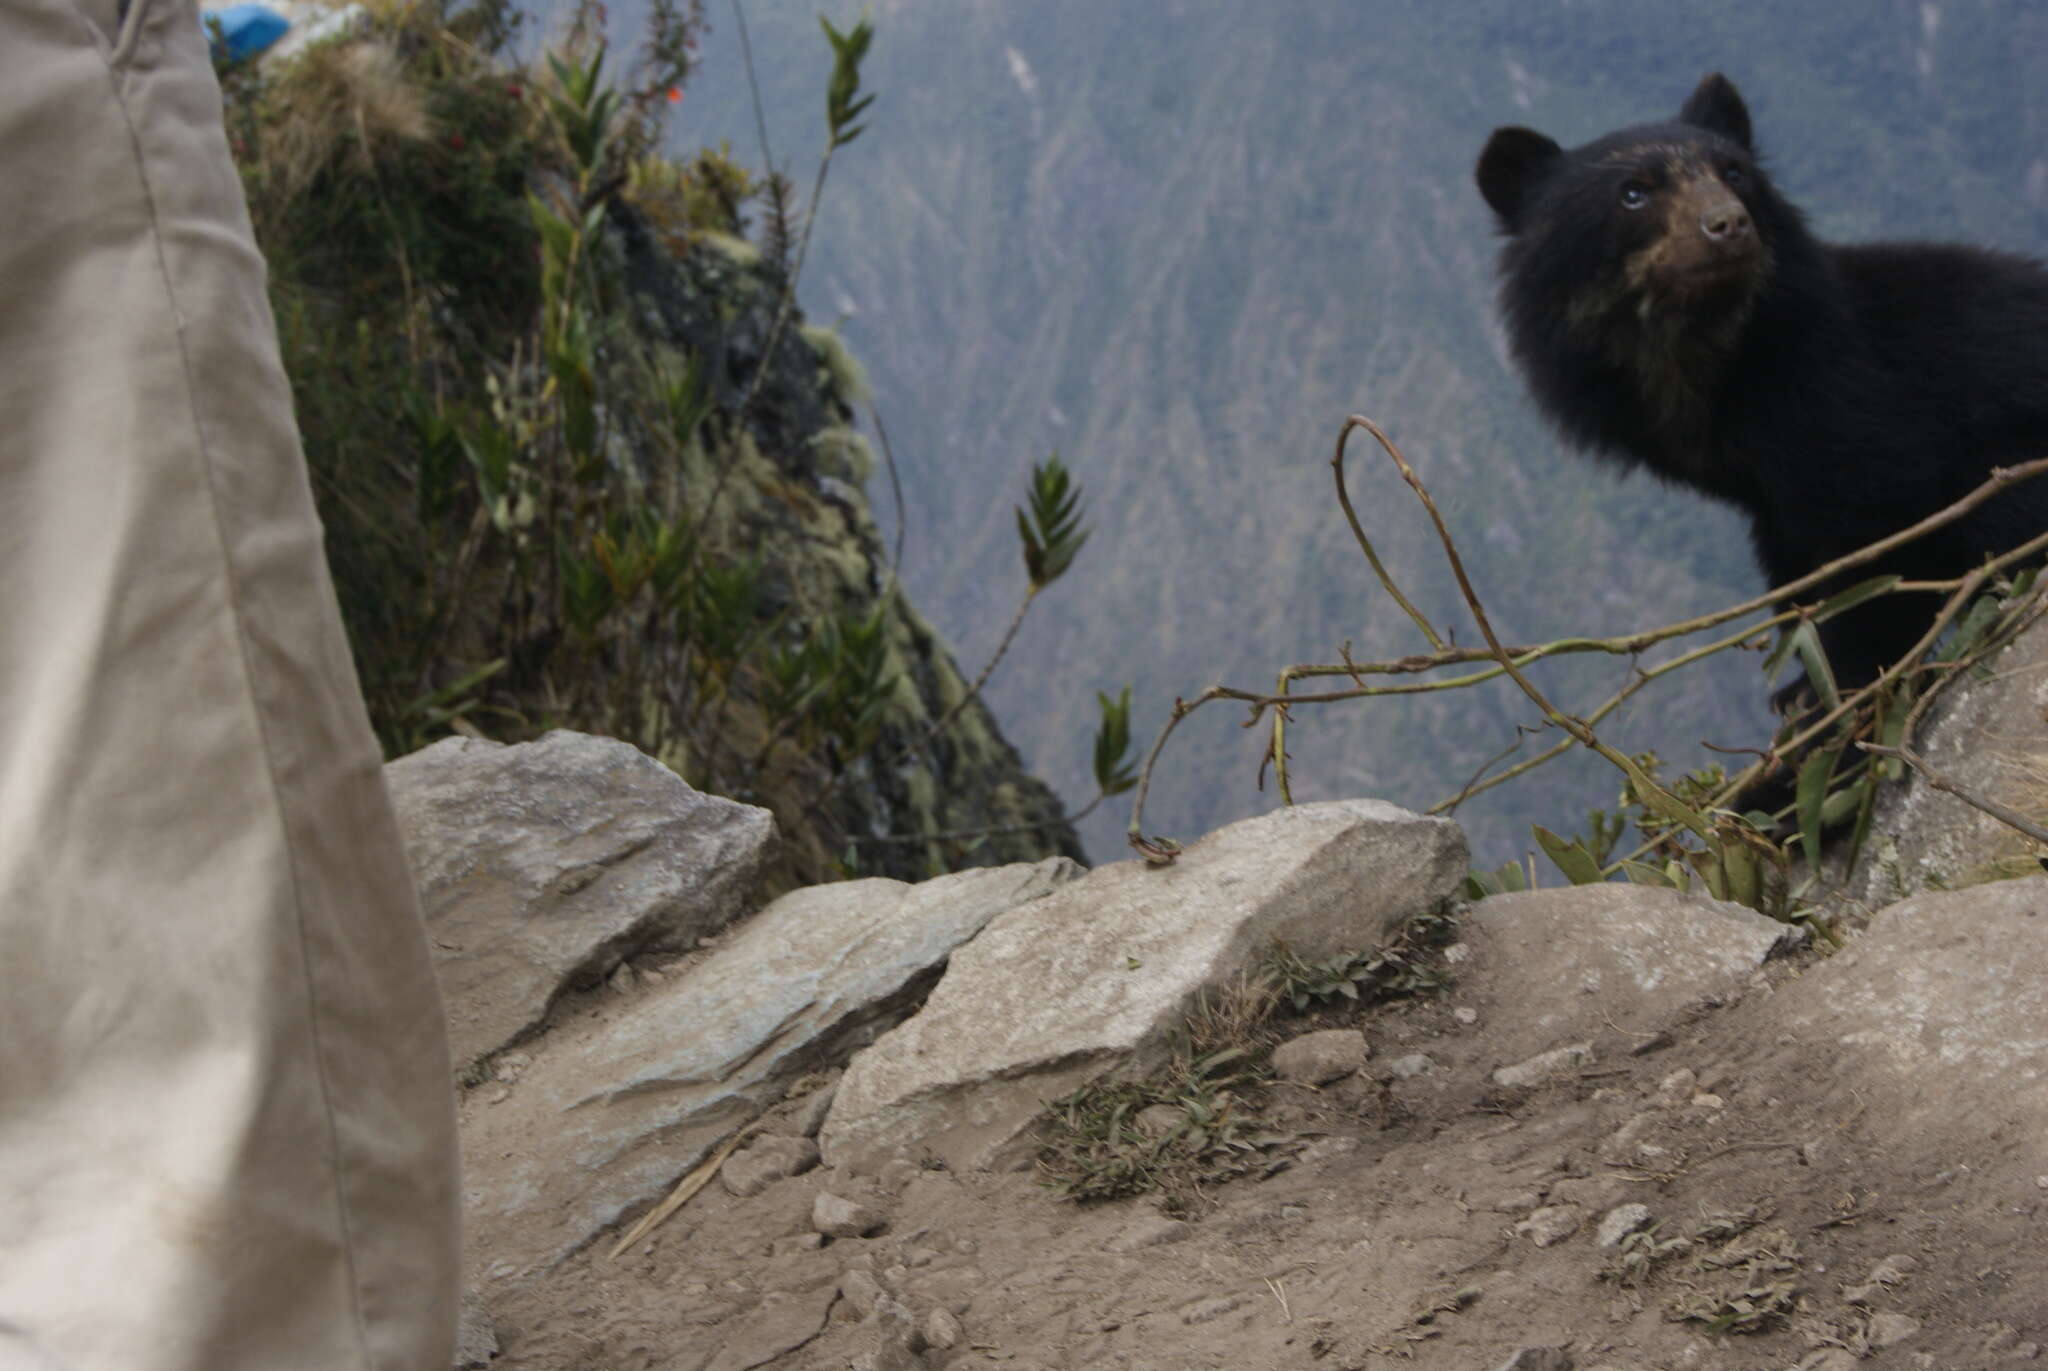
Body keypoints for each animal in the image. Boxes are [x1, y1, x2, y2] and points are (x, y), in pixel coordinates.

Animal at [1474, 72, 2048, 717]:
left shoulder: (1850, 417)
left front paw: (1837, 695)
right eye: (1633, 193)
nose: (1728, 224)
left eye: (1733, 173)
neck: (1708, 355)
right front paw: (1800, 683)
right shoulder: (1767, 498)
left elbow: (1879, 548)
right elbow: (1797, 570)